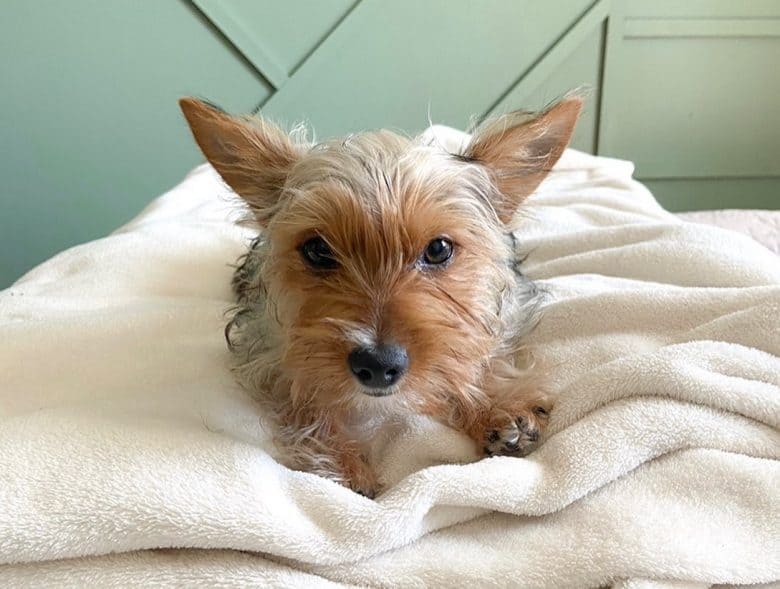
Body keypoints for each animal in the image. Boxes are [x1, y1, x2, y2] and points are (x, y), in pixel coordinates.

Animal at [178, 97, 580, 496]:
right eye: (317, 250)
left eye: (439, 249)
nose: (376, 365)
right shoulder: (270, 353)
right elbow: (301, 393)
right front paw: (341, 462)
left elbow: (482, 353)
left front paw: (497, 405)